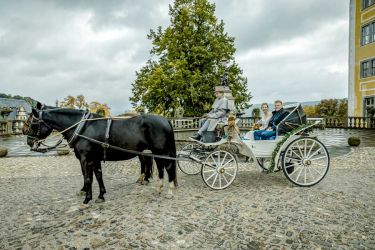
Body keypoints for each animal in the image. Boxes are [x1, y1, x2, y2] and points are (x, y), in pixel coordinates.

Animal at [24, 101, 178, 203]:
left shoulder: (86, 158)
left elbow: (88, 177)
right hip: (155, 152)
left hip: (162, 152)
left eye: (33, 123)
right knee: (160, 167)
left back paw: (170, 191)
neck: (82, 127)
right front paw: (100, 195)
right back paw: (158, 188)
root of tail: (166, 120)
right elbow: (97, 176)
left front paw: (87, 198)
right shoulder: (95, 158)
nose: (29, 142)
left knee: (169, 167)